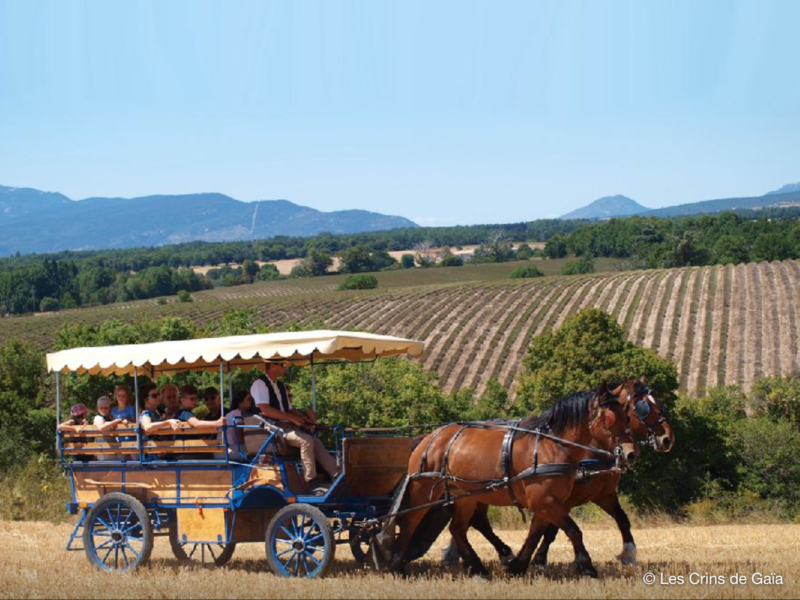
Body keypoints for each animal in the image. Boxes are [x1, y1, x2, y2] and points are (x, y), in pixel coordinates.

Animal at [386, 380, 636, 576]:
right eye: (610, 417)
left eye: (627, 416)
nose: (631, 453)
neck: (552, 446)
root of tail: (430, 436)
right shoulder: (545, 501)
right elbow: (573, 530)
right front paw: (587, 566)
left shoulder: (547, 503)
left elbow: (535, 533)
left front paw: (518, 565)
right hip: (423, 489)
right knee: (409, 522)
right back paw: (396, 564)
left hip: (465, 496)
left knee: (458, 529)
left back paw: (479, 568)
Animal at [440, 378, 672, 568]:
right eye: (642, 407)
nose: (667, 439)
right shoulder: (558, 499)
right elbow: (551, 530)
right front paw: (540, 559)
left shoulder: (603, 494)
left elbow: (622, 519)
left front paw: (628, 553)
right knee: (475, 522)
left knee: (474, 522)